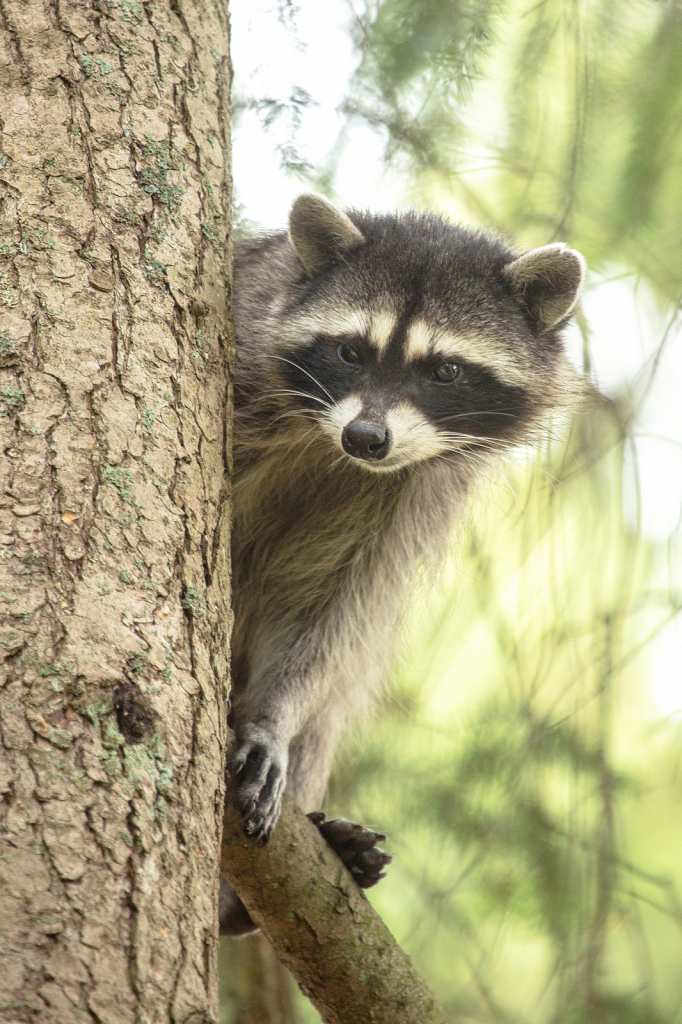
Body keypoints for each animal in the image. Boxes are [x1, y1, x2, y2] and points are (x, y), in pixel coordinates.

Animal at [219, 193, 585, 937]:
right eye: (350, 352)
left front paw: (273, 717)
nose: (366, 436)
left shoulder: (401, 496)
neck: (328, 446)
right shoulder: (245, 364)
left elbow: (322, 608)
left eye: (444, 370)